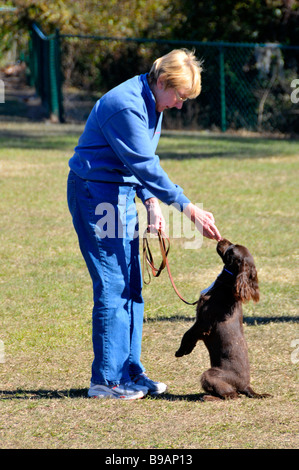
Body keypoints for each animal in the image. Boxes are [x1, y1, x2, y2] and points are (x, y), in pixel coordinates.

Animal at [176, 239, 272, 400]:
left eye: (232, 249)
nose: (222, 239)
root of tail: (247, 386)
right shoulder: (201, 325)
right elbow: (191, 335)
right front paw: (187, 350)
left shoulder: (203, 322)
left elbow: (188, 334)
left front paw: (180, 351)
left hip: (210, 375)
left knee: (232, 395)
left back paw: (208, 397)